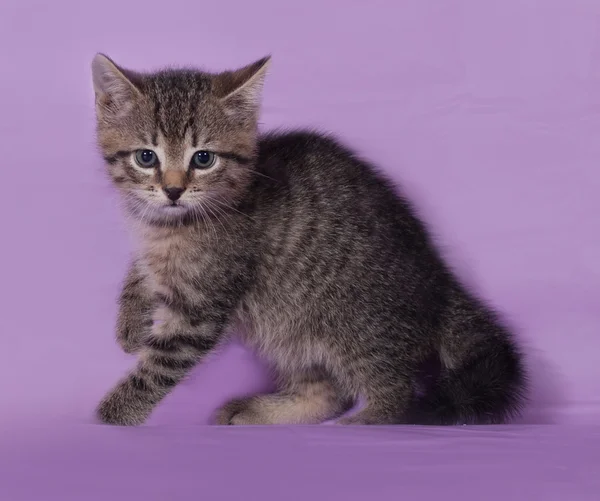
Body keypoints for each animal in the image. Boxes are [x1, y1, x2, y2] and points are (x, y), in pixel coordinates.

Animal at [91, 53, 528, 422]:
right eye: (146, 157)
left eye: (203, 158)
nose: (173, 190)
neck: (168, 226)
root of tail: (439, 279)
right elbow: (140, 273)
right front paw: (130, 325)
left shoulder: (201, 309)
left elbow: (158, 368)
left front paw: (114, 417)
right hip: (289, 330)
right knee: (327, 392)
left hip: (356, 325)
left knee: (396, 394)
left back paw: (363, 424)